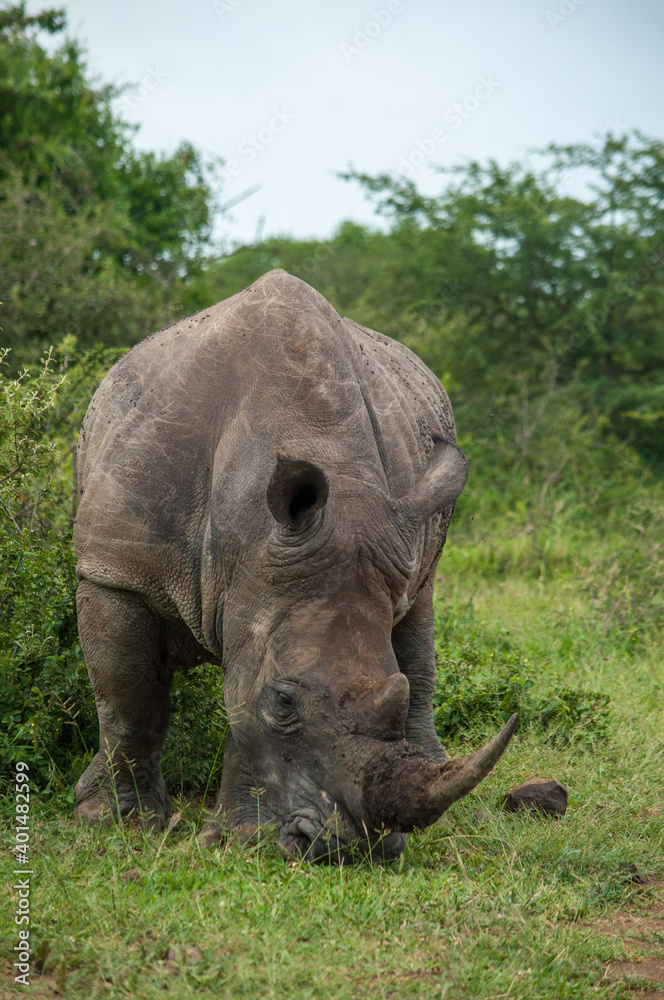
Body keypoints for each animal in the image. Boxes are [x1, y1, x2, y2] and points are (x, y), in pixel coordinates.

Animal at [73, 269, 516, 862]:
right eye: (282, 701)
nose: (342, 850)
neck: (242, 540)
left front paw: (234, 837)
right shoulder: (117, 571)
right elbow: (129, 703)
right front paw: (120, 823)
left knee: (420, 615)